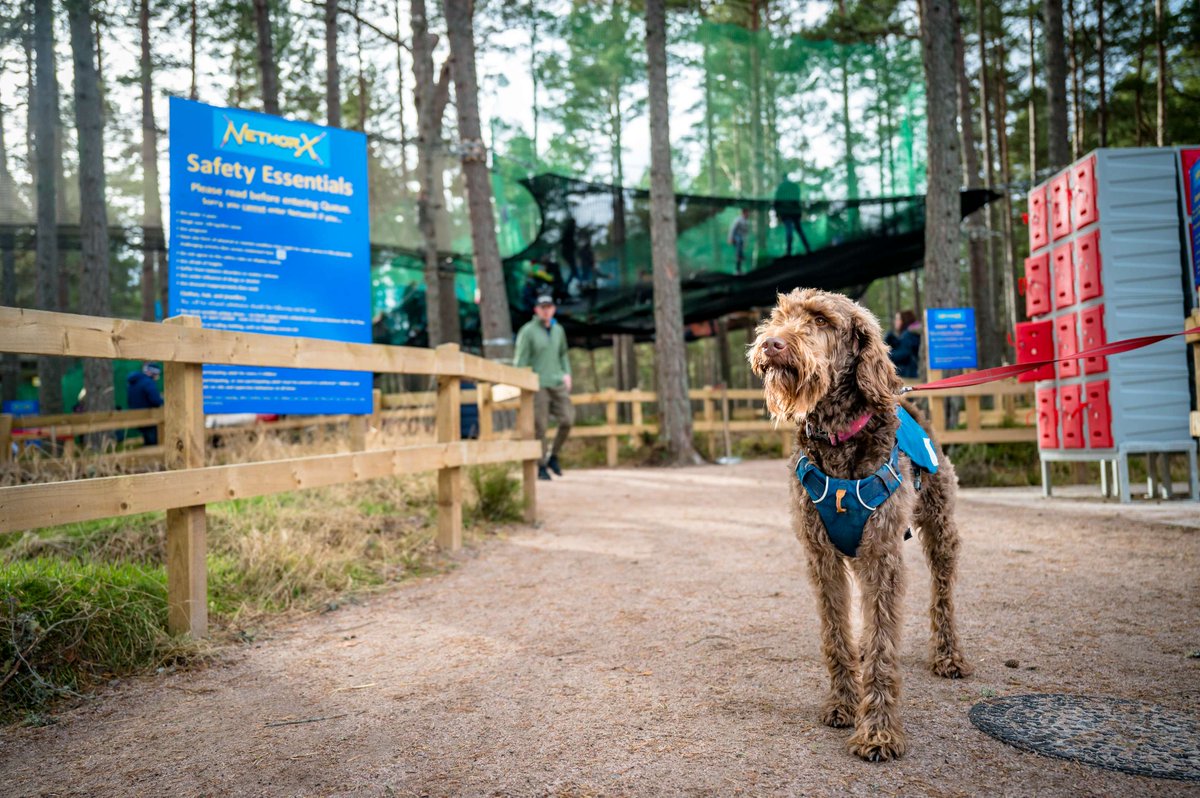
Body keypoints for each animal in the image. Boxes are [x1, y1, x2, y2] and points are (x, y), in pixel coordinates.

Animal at [748, 286, 974, 758]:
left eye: (821, 320)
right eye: (780, 316)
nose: (772, 344)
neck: (838, 438)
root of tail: (907, 398)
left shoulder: (881, 555)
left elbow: (884, 643)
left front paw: (878, 731)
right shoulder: (821, 558)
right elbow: (836, 634)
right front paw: (842, 704)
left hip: (940, 528)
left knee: (943, 596)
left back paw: (948, 655)